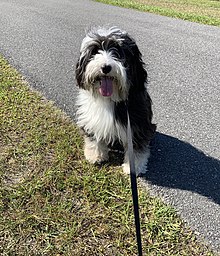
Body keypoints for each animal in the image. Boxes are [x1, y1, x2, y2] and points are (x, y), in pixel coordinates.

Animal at [75, 26, 156, 176]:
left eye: (118, 52)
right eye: (95, 51)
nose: (106, 67)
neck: (110, 98)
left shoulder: (137, 124)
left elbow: (136, 148)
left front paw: (134, 167)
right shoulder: (92, 120)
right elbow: (94, 138)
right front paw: (95, 155)